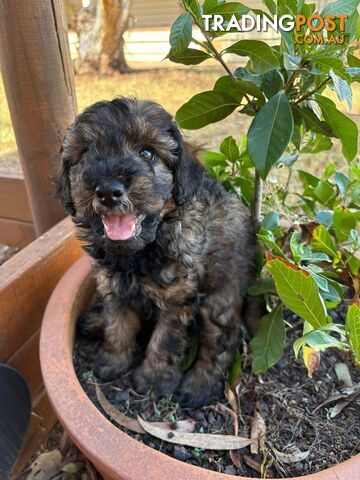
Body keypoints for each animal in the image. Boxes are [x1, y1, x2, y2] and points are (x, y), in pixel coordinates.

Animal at [56, 96, 256, 404]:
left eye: (147, 153)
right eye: (86, 153)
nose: (108, 191)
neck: (139, 253)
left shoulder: (176, 298)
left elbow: (164, 340)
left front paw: (153, 380)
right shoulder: (113, 285)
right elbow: (117, 324)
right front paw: (112, 360)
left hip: (220, 295)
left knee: (222, 338)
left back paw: (199, 385)